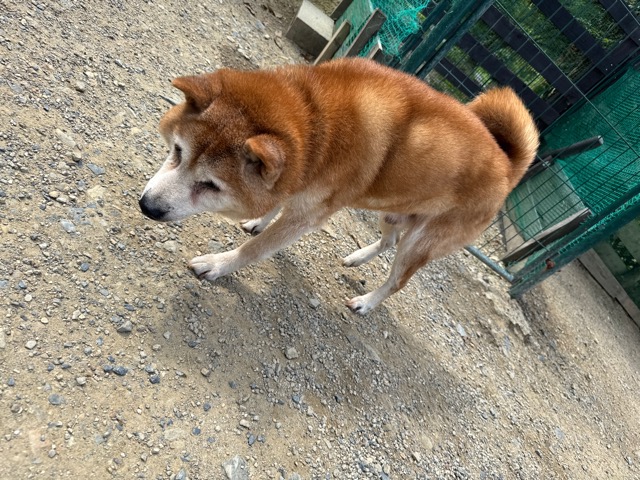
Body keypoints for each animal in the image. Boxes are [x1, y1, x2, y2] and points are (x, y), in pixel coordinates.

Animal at [139, 57, 539, 314]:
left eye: (211, 185)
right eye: (178, 151)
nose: (147, 206)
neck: (318, 120)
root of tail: (508, 167)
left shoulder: (310, 215)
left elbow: (254, 250)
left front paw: (218, 264)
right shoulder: (297, 181)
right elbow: (276, 199)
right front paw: (259, 219)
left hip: (420, 244)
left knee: (396, 281)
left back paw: (366, 303)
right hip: (394, 214)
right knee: (388, 240)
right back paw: (357, 256)